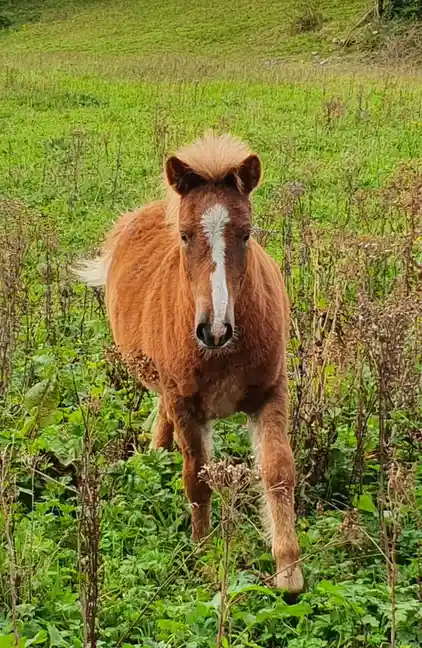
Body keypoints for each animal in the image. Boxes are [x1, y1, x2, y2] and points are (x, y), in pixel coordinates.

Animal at [74, 132, 303, 595]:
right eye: (183, 235)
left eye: (247, 234)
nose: (214, 330)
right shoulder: (186, 403)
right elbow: (197, 478)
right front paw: (202, 556)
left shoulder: (270, 393)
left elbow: (277, 470)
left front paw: (289, 571)